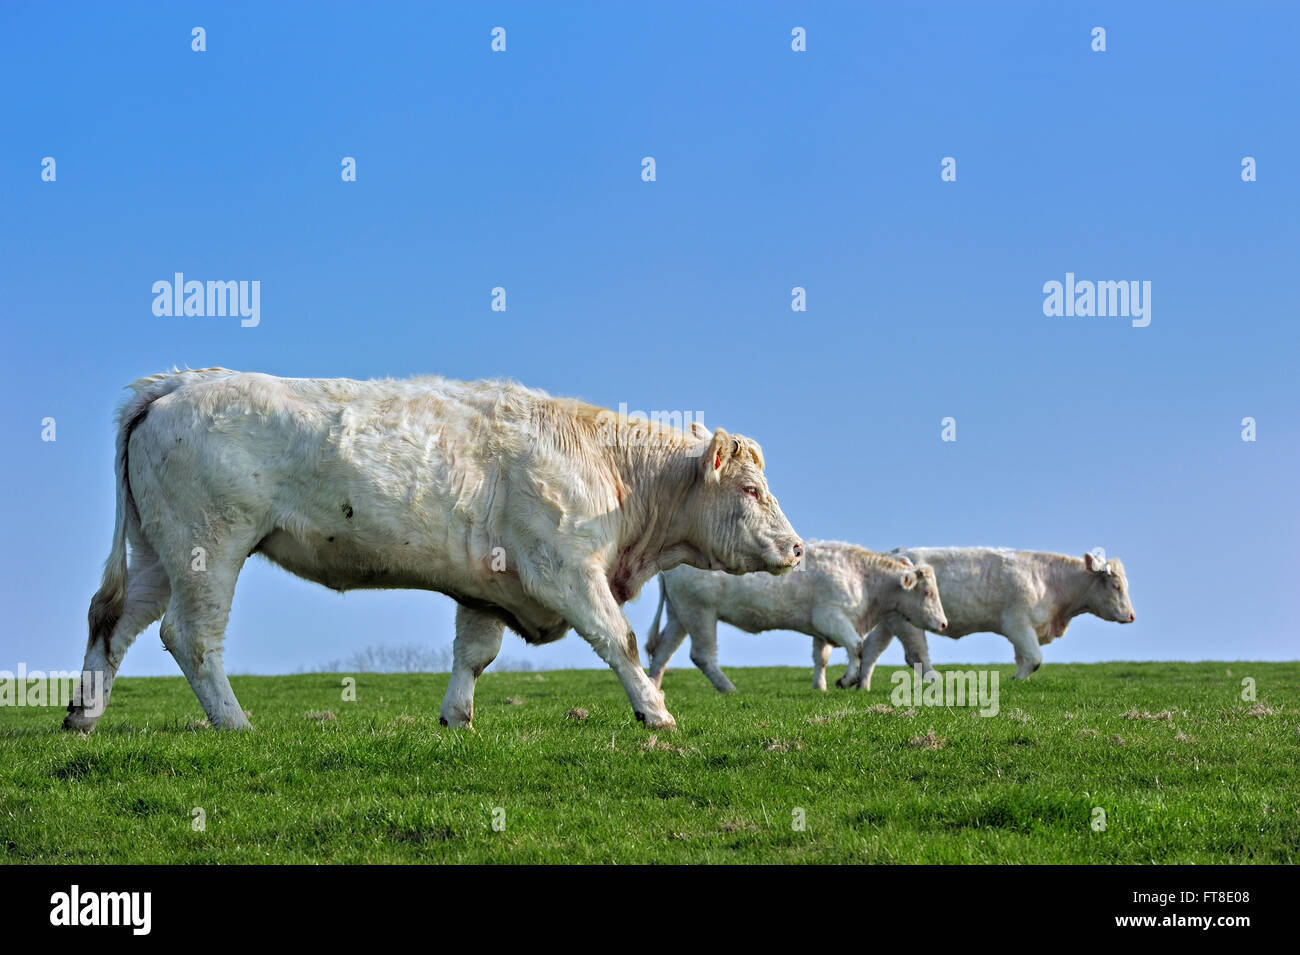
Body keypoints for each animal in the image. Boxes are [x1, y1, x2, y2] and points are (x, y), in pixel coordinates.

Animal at [64, 368, 803, 733]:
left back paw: (83, 716)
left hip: (157, 552)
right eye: (750, 487)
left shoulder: (490, 585)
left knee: (113, 622)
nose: (796, 548)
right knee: (190, 636)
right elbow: (618, 640)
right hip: (208, 545)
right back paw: (235, 722)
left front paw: (456, 719)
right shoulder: (563, 569)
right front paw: (656, 712)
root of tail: (177, 383)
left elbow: (474, 654)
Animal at [644, 540, 948, 693]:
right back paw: (729, 688)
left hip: (679, 615)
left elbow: (821, 658)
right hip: (700, 612)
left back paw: (653, 688)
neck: (861, 576)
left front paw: (820, 687)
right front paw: (847, 680)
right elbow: (857, 647)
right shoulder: (832, 618)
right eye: (927, 592)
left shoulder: (821, 628)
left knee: (662, 651)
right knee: (703, 655)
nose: (943, 623)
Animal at [847, 547, 1137, 690]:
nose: (1132, 616)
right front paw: (1016, 681)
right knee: (916, 655)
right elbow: (1034, 659)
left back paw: (860, 684)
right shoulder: (1017, 624)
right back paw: (937, 682)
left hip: (891, 621)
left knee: (871, 648)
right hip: (907, 623)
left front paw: (1019, 679)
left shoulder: (1025, 629)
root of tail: (892, 553)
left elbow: (1023, 658)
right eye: (1116, 586)